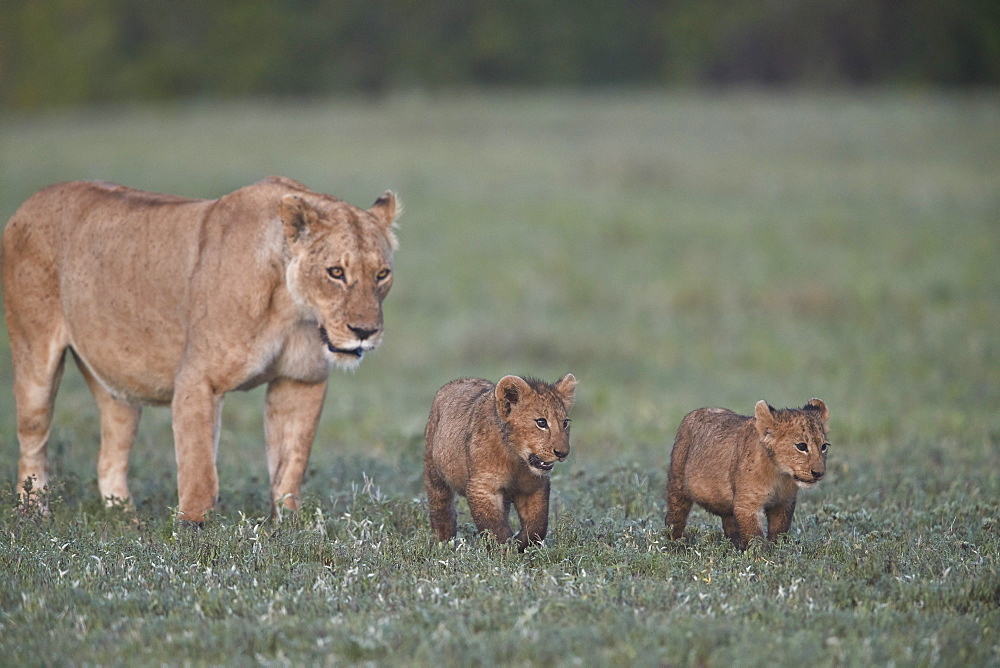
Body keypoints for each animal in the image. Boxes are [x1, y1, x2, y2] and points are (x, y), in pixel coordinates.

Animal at [0, 177, 398, 520]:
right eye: (335, 272)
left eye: (382, 274)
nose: (365, 332)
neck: (293, 308)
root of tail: (33, 200)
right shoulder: (198, 379)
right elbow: (199, 468)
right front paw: (194, 534)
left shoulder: (301, 382)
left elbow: (290, 466)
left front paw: (290, 527)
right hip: (35, 357)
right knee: (32, 443)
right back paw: (33, 514)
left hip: (118, 386)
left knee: (110, 456)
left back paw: (127, 522)